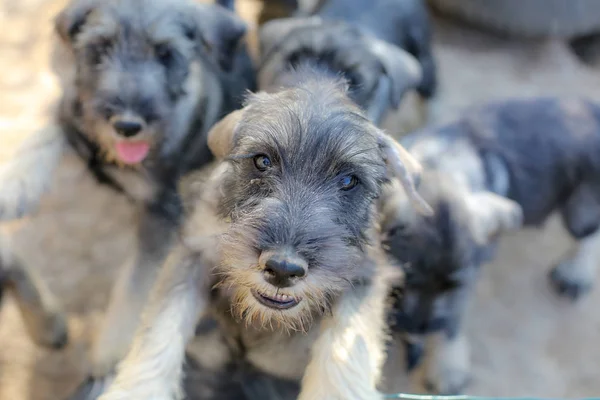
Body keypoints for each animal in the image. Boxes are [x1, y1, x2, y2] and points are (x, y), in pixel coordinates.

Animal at [0, 0, 255, 398]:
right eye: (99, 47)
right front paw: (15, 183)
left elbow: (136, 285)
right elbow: (49, 126)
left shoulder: (161, 214)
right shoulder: (73, 112)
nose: (128, 125)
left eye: (166, 54)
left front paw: (110, 356)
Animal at [96, 68, 428, 400]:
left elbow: (345, 349)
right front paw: (136, 390)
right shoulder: (195, 251)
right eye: (262, 161)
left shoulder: (364, 277)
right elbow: (161, 328)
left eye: (349, 180)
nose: (283, 269)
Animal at [382, 97, 600, 394]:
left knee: (590, 234)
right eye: (403, 284)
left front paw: (447, 366)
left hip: (580, 209)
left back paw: (576, 273)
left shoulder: (465, 284)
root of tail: (590, 109)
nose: (418, 330)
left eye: (453, 287)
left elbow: (452, 322)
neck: (442, 165)